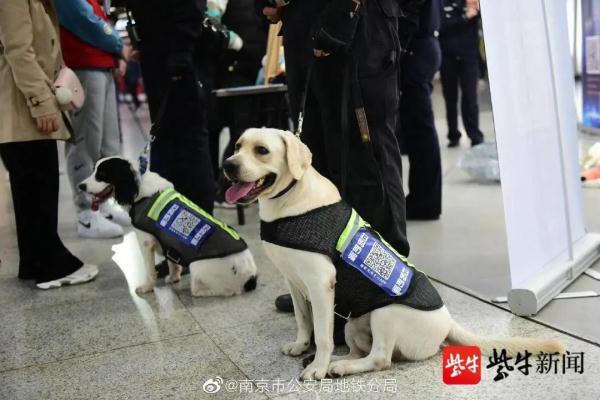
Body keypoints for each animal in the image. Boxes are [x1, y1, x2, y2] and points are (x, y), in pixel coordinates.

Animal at [80, 157, 258, 296]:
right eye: (94, 171)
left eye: (102, 175)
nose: (81, 186)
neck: (138, 186)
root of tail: (251, 276)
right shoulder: (168, 243)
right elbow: (172, 261)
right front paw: (173, 278)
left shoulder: (145, 243)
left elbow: (150, 270)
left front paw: (147, 287)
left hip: (197, 267)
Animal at [223, 129, 564, 382]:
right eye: (237, 146)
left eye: (262, 150)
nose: (228, 165)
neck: (289, 200)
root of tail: (448, 322)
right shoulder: (294, 283)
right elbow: (303, 322)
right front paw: (300, 346)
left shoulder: (321, 285)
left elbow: (322, 334)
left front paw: (316, 367)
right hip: (355, 322)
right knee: (364, 352)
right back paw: (340, 361)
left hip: (386, 313)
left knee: (381, 359)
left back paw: (336, 366)